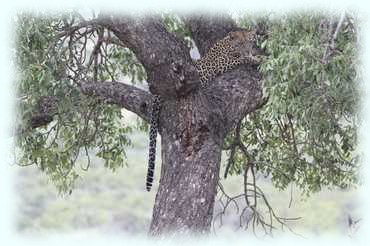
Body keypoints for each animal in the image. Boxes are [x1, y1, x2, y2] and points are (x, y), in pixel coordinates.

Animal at [146, 29, 262, 191]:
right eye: (240, 43)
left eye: (249, 42)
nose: (248, 49)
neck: (228, 43)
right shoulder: (222, 62)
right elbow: (241, 59)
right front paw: (256, 58)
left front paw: (255, 55)